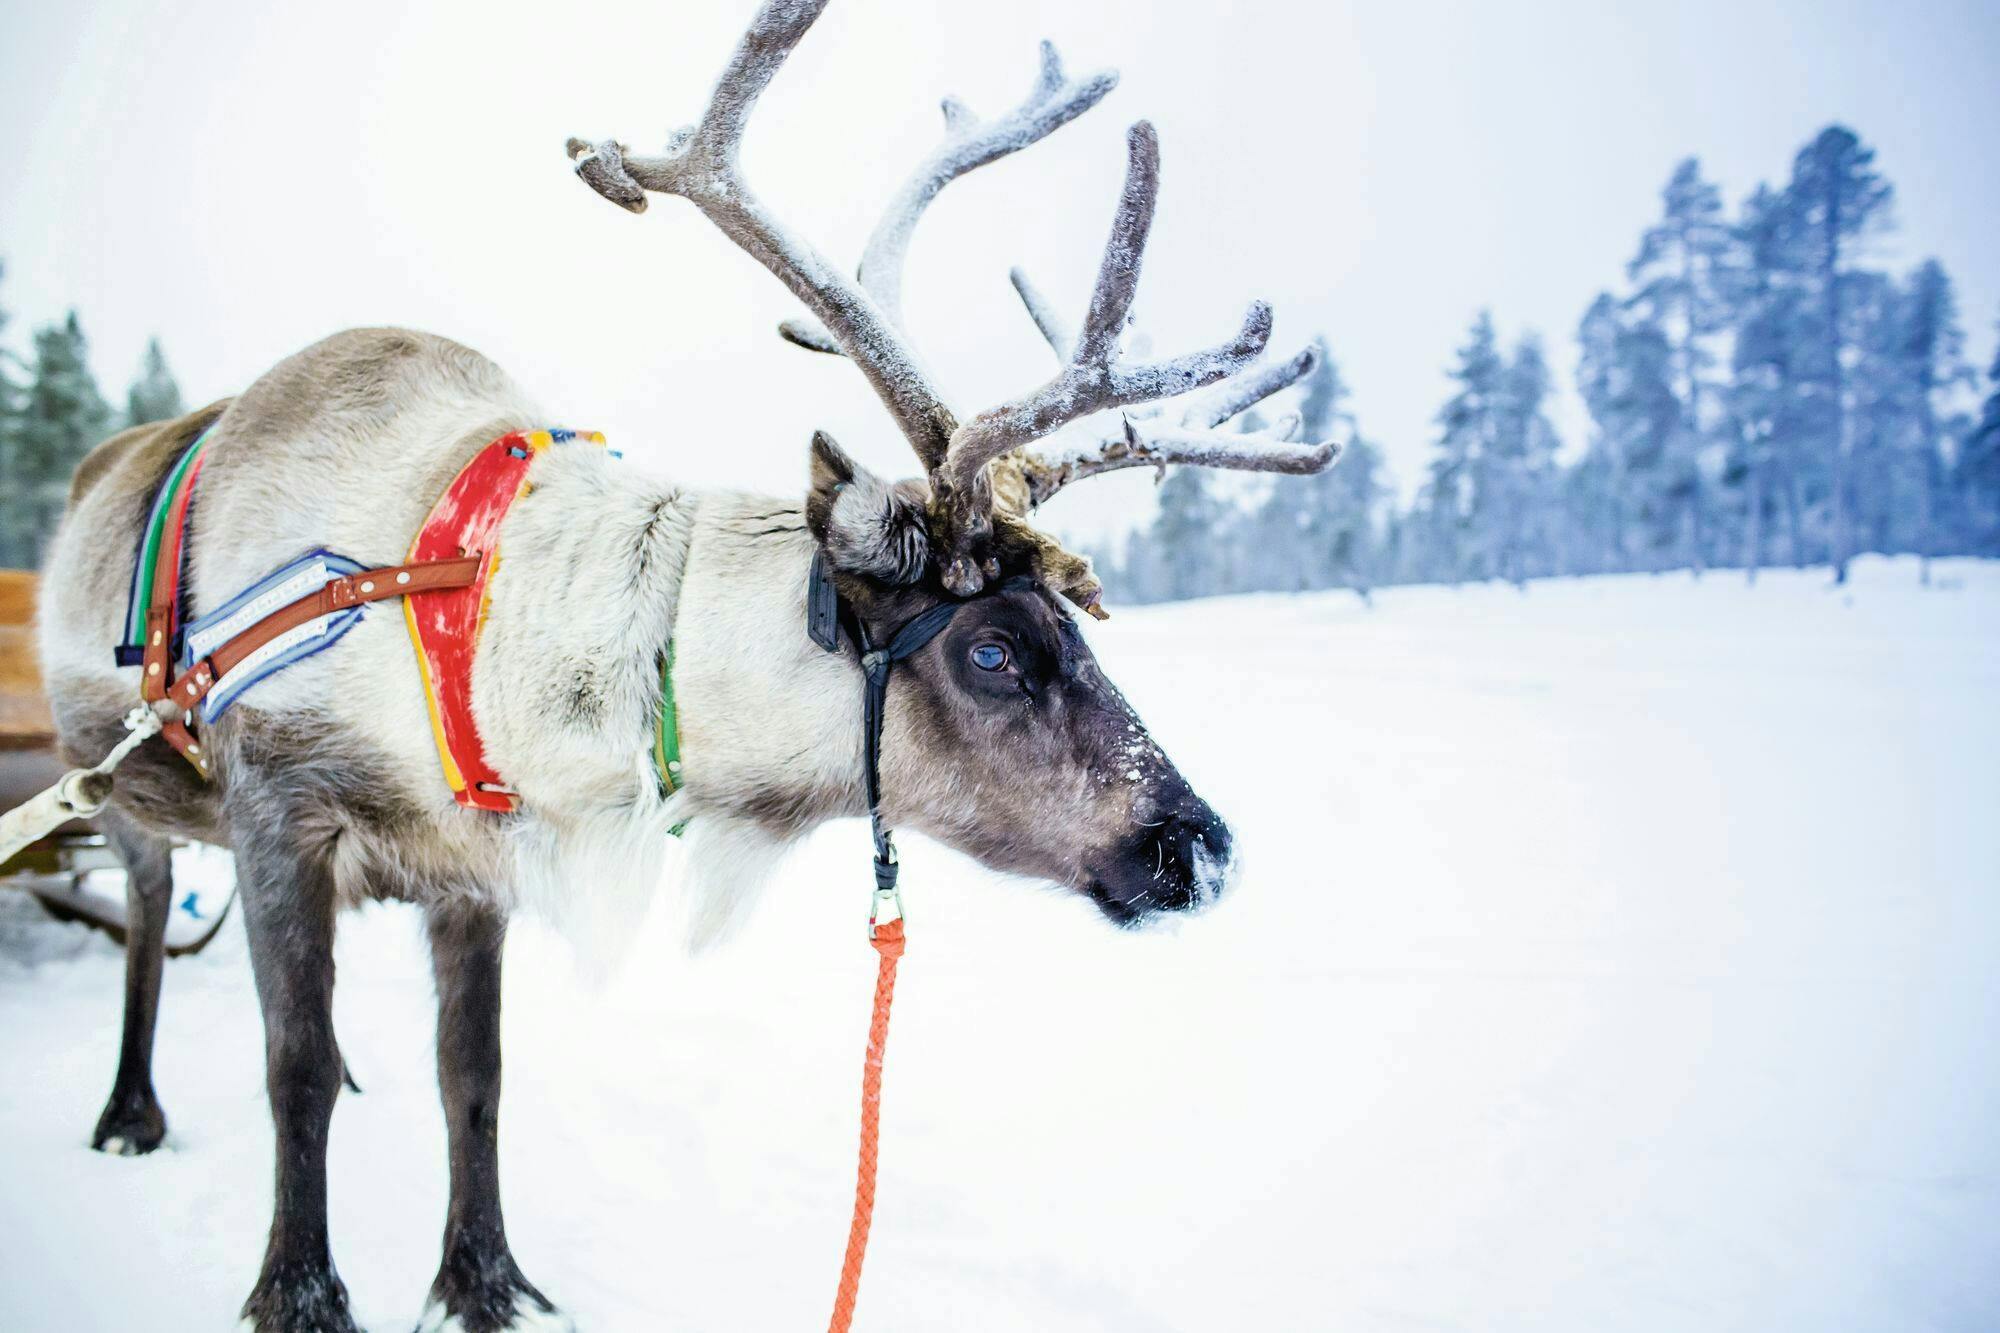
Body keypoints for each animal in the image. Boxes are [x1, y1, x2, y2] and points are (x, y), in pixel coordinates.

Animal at [34, 1, 1339, 1328]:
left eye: (1070, 625)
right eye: (993, 648)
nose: (1201, 847)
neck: (470, 619)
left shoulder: (469, 864)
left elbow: (472, 1073)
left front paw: (485, 1284)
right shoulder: (276, 808)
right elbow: (289, 1065)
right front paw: (299, 1292)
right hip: (110, 791)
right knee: (146, 913)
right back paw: (129, 1110)